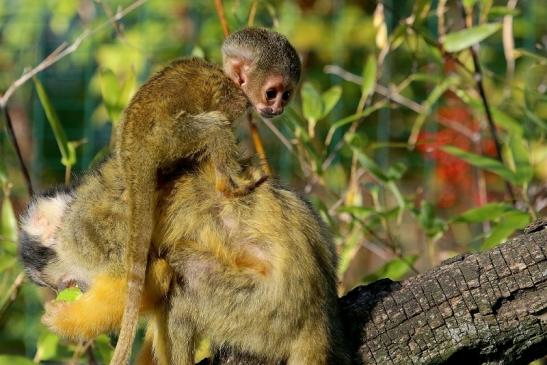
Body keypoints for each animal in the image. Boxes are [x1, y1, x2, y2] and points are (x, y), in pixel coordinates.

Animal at [20, 156, 346, 364]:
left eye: (65, 283)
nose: (77, 289)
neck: (70, 213)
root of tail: (318, 312)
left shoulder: (91, 231)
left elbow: (143, 277)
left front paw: (65, 320)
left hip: (266, 309)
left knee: (184, 285)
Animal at [114, 27, 302, 362]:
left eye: (286, 94)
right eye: (272, 93)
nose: (277, 108)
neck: (228, 79)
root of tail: (133, 147)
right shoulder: (231, 100)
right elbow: (220, 124)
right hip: (167, 138)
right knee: (213, 126)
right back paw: (229, 187)